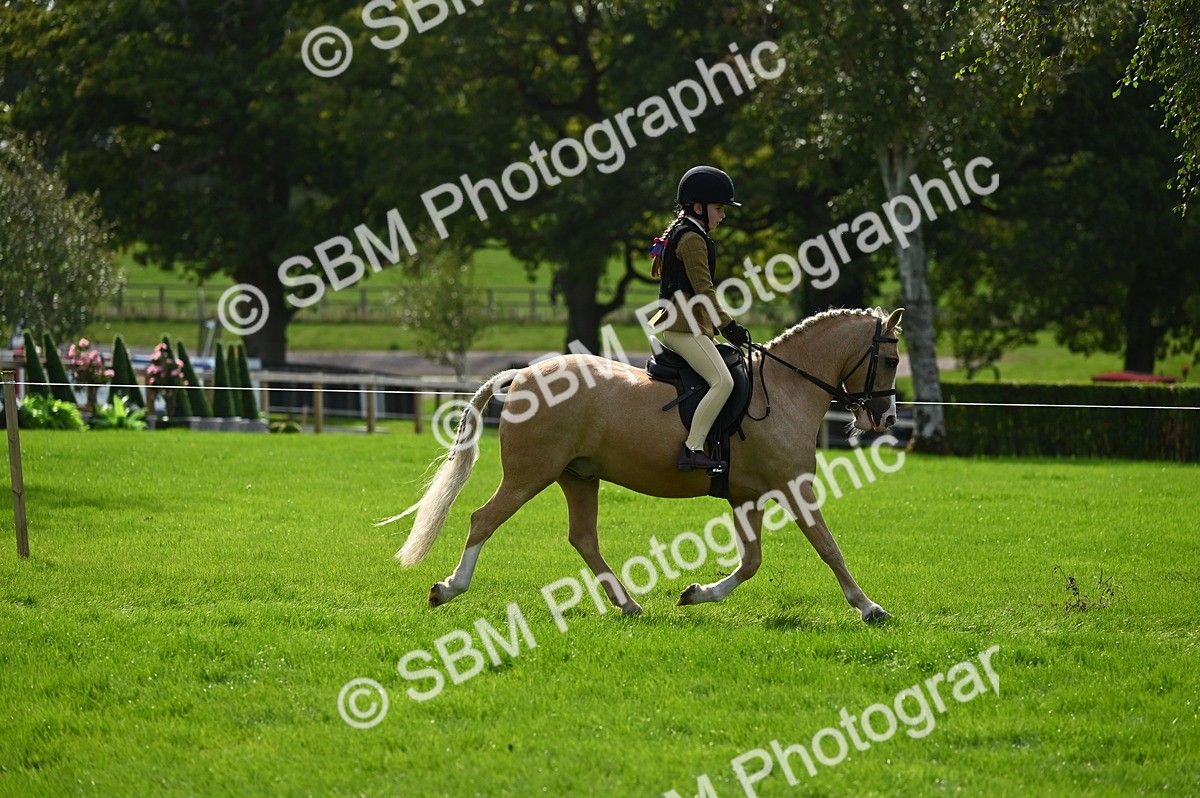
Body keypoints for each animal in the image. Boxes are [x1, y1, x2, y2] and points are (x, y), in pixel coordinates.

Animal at [385, 307, 904, 624]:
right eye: (891, 359)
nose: (886, 418)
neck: (782, 389)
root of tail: (524, 374)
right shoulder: (795, 488)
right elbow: (828, 548)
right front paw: (869, 607)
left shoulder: (746, 497)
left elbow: (752, 561)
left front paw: (697, 594)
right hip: (530, 475)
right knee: (483, 520)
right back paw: (448, 589)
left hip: (579, 476)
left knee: (584, 539)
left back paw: (629, 604)